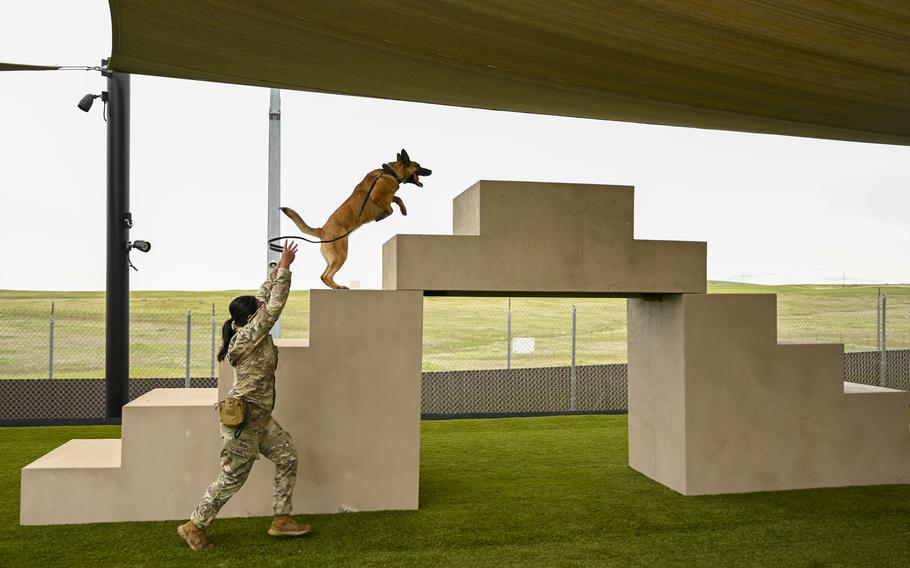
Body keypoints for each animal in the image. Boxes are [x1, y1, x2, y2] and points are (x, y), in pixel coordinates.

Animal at [280, 150, 432, 288]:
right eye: (418, 165)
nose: (431, 171)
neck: (390, 172)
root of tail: (322, 230)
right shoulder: (378, 197)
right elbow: (390, 209)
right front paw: (382, 216)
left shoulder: (388, 197)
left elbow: (398, 199)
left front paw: (403, 209)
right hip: (341, 254)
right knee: (327, 275)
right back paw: (338, 287)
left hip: (333, 257)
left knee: (323, 276)